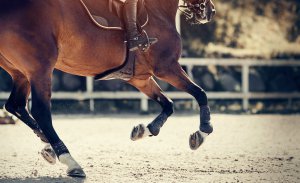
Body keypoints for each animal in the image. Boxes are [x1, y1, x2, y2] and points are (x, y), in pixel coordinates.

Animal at [0, 0, 216, 178]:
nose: (210, 11)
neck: (157, 12)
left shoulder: (140, 78)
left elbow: (168, 104)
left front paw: (145, 130)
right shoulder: (167, 68)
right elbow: (200, 93)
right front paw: (202, 132)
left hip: (21, 72)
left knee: (15, 106)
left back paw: (48, 147)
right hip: (40, 68)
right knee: (40, 112)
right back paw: (70, 161)